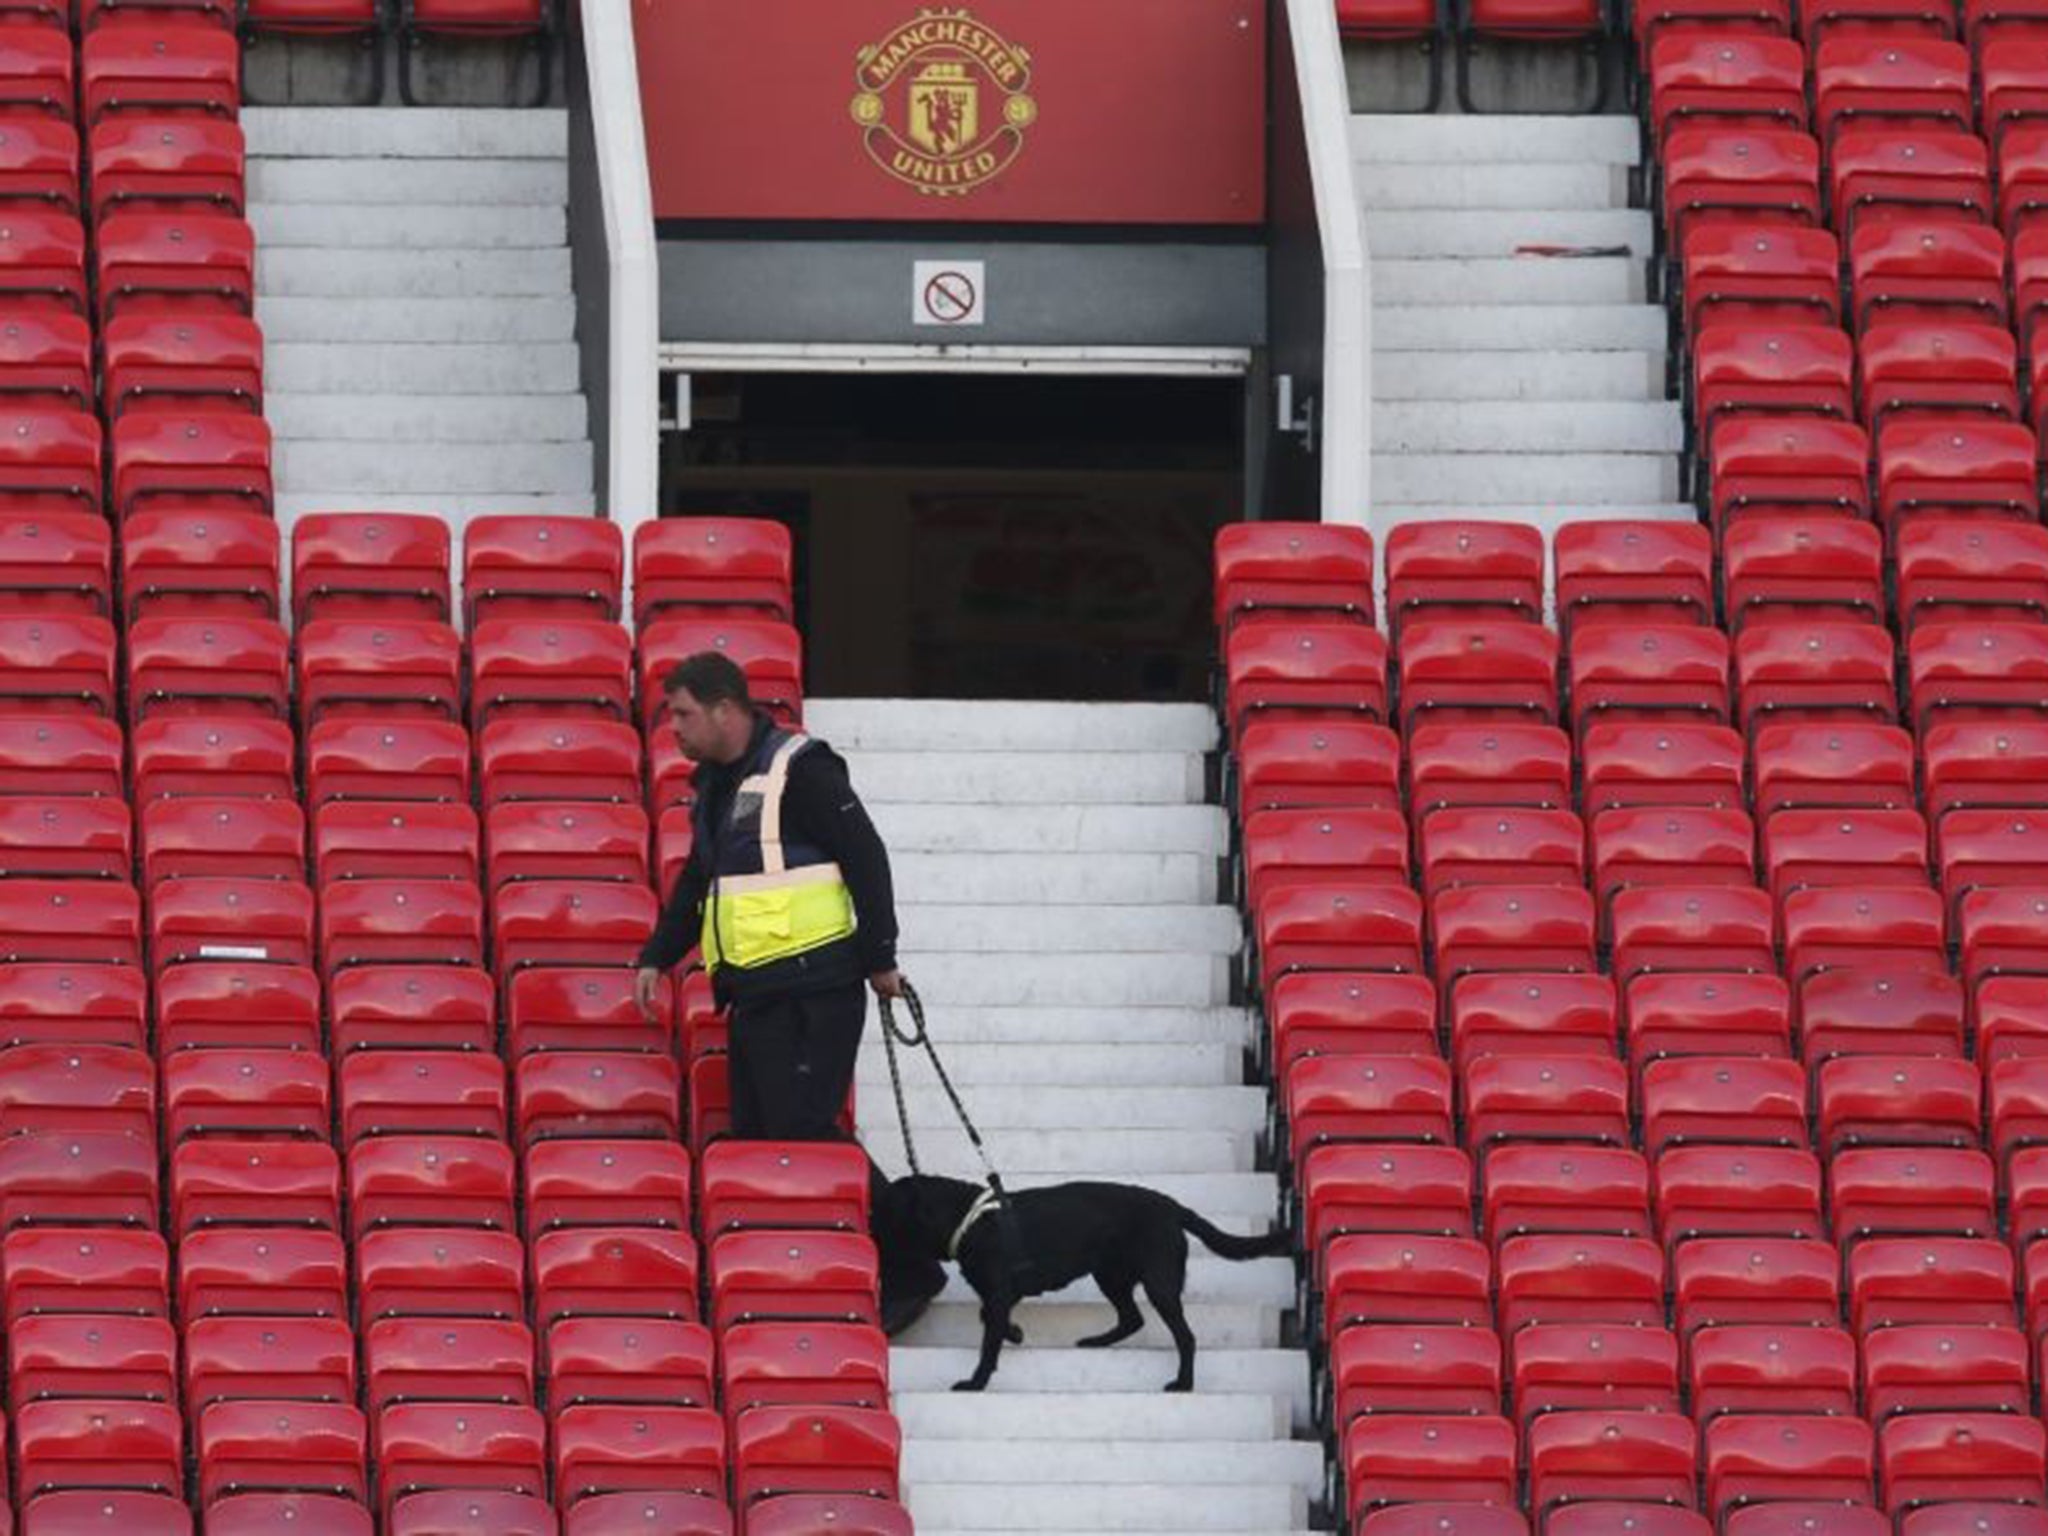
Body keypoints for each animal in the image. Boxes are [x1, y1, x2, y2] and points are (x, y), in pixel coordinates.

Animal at [876, 1179, 1286, 1392]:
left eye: (887, 1204)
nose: (868, 1216)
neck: (971, 1218)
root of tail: (1173, 1207)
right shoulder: (999, 1295)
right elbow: (989, 1319)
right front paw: (1015, 1332)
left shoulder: (998, 1292)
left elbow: (988, 1342)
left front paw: (976, 1382)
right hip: (1111, 1275)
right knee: (1132, 1319)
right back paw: (1096, 1342)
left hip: (1158, 1283)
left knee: (1185, 1336)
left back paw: (1183, 1383)